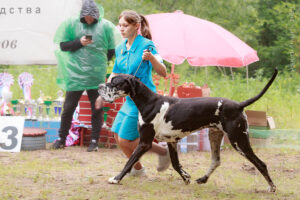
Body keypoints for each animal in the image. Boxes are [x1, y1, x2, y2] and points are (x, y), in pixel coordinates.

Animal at [98, 69, 276, 191]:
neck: (150, 102)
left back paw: (271, 187)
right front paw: (186, 177)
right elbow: (176, 164)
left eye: (114, 83)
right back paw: (203, 179)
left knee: (261, 163)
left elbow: (129, 161)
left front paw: (116, 179)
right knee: (216, 161)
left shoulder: (145, 143)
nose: (99, 86)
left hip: (239, 140)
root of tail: (239, 105)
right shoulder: (171, 142)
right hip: (215, 136)